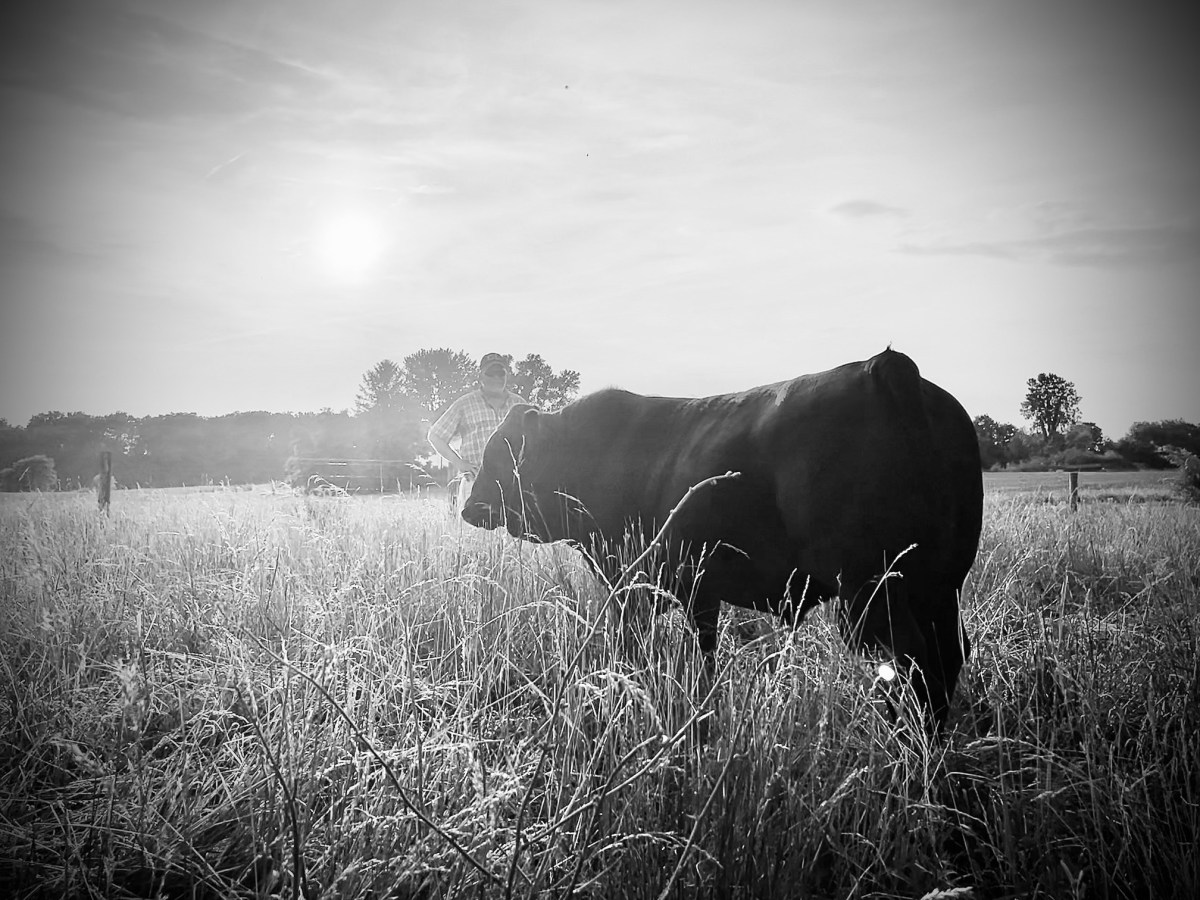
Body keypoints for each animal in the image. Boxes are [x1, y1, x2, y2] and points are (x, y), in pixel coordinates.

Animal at [462, 349, 983, 732]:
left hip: (875, 592)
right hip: (939, 589)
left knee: (913, 663)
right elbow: (704, 654)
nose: (470, 508)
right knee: (947, 657)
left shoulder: (630, 588)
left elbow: (632, 650)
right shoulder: (700, 593)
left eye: (499, 453)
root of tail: (887, 369)